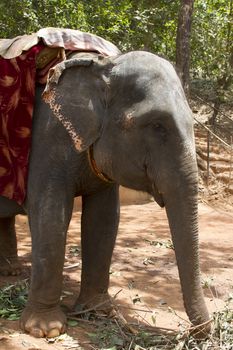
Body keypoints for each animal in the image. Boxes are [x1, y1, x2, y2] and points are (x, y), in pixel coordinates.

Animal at [0, 49, 210, 336]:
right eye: (157, 126)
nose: (198, 331)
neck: (102, 65)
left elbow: (103, 219)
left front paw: (99, 312)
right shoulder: (48, 140)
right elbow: (50, 215)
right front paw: (46, 329)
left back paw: (10, 272)